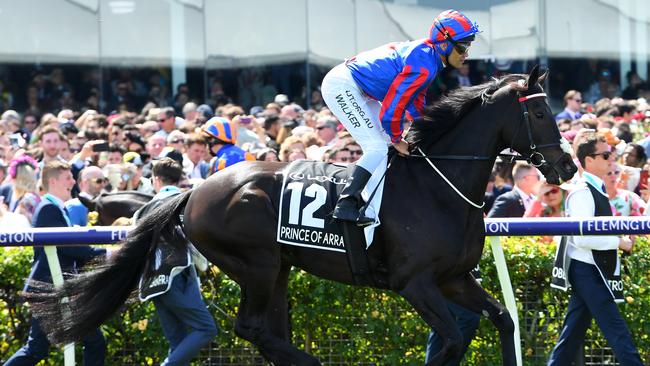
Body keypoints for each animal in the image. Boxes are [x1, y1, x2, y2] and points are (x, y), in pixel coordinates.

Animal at [26, 66, 572, 366]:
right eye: (539, 114)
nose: (566, 166)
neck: (438, 185)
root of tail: (195, 191)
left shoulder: (455, 278)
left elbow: (503, 319)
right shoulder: (414, 282)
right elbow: (454, 340)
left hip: (280, 269)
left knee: (269, 333)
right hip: (257, 264)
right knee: (252, 328)